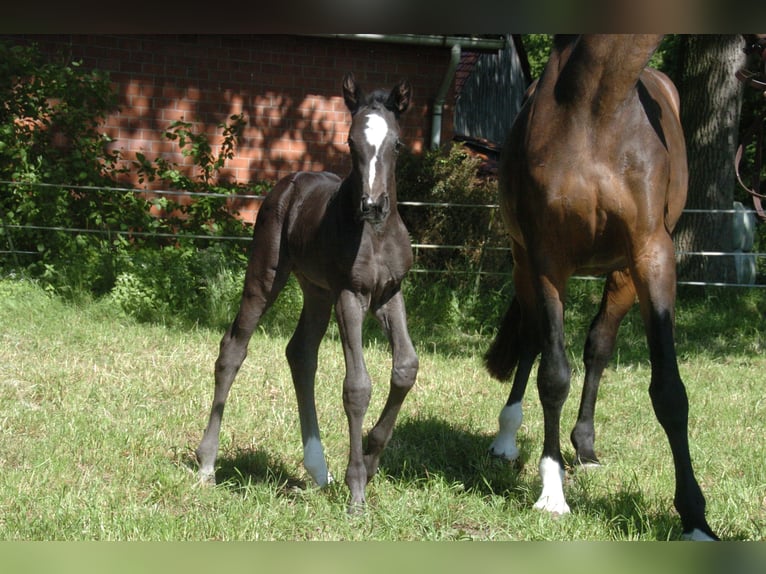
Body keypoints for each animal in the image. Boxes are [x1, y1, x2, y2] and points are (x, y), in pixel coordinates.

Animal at [195, 73, 416, 512]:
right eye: (350, 142)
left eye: (397, 144)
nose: (372, 205)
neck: (377, 235)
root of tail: (291, 181)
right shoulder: (351, 295)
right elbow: (357, 386)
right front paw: (357, 490)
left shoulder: (390, 293)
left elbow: (405, 368)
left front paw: (370, 461)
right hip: (267, 276)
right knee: (233, 349)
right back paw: (207, 463)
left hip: (317, 291)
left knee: (300, 352)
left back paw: (317, 468)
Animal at [486, 35, 720, 540]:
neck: (597, 105)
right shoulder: (546, 258)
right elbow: (553, 375)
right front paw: (552, 492)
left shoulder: (652, 255)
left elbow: (669, 390)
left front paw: (695, 518)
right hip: (522, 263)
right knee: (532, 339)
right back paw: (506, 437)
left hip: (623, 275)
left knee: (599, 343)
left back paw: (586, 447)